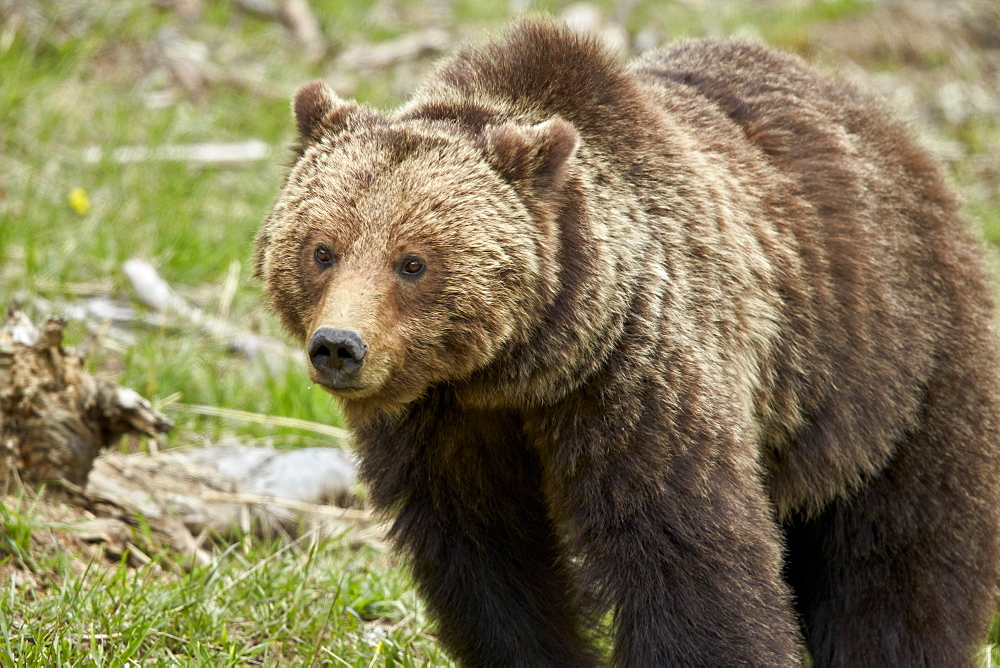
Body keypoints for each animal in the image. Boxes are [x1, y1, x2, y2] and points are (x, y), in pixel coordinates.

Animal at [254, 18, 1000, 664]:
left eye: (413, 262)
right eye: (322, 249)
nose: (340, 346)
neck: (518, 371)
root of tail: (895, 132)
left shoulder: (638, 383)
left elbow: (686, 558)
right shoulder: (444, 426)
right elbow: (488, 566)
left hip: (893, 372)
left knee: (901, 563)